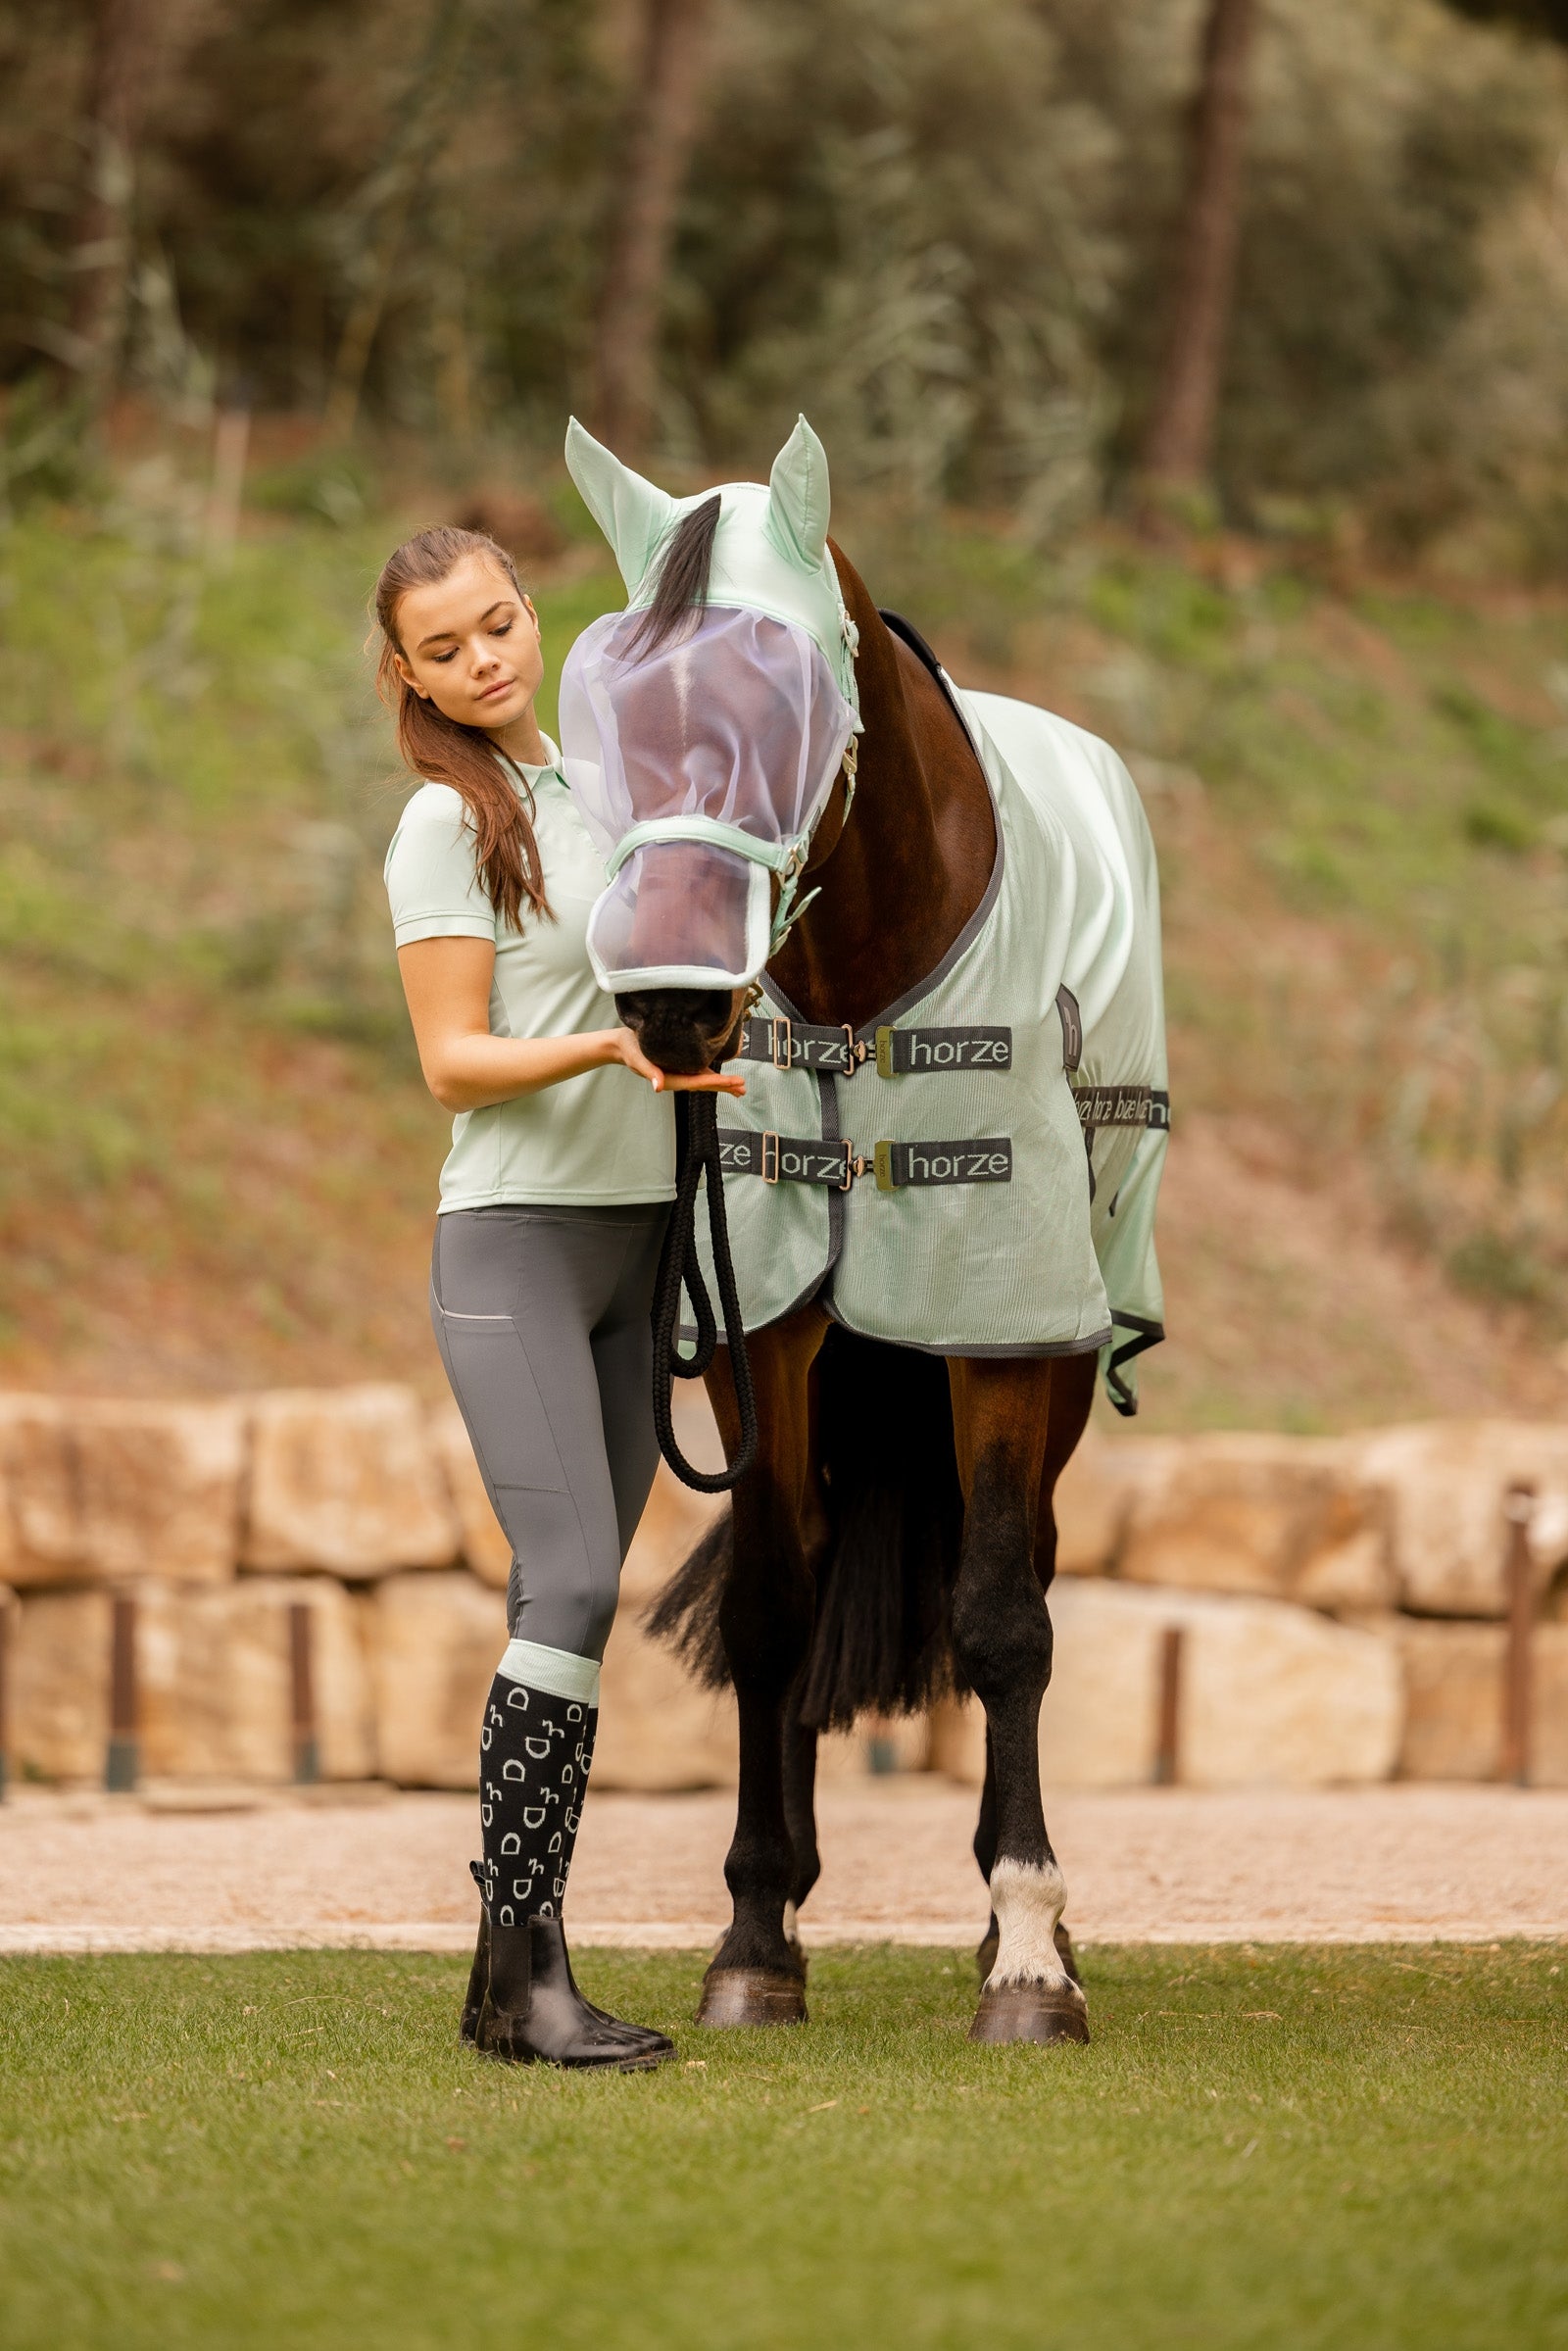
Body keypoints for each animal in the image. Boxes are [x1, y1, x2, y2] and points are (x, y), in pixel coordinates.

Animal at [559, 416, 1168, 2046]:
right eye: (600, 717)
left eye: (787, 708)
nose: (672, 997)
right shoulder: (759, 1324)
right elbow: (775, 1603)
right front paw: (755, 1935)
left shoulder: (1004, 1324)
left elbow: (1003, 1614)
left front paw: (1028, 1957)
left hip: (1071, 1348)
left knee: (1023, 1572)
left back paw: (1035, 1922)